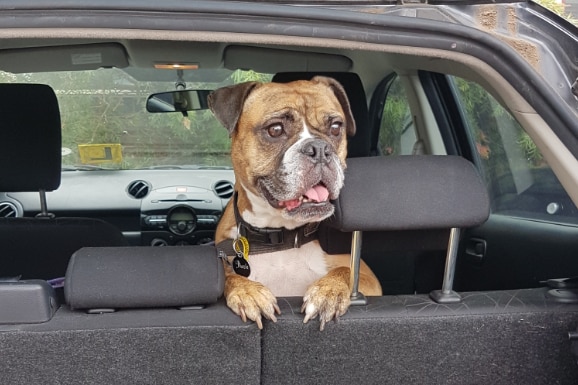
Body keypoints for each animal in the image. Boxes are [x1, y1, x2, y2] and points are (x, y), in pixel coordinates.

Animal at [209, 76, 380, 328]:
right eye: (275, 129)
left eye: (336, 127)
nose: (319, 148)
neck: (281, 235)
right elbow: (229, 277)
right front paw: (248, 292)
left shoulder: (369, 279)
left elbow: (344, 272)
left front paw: (328, 291)